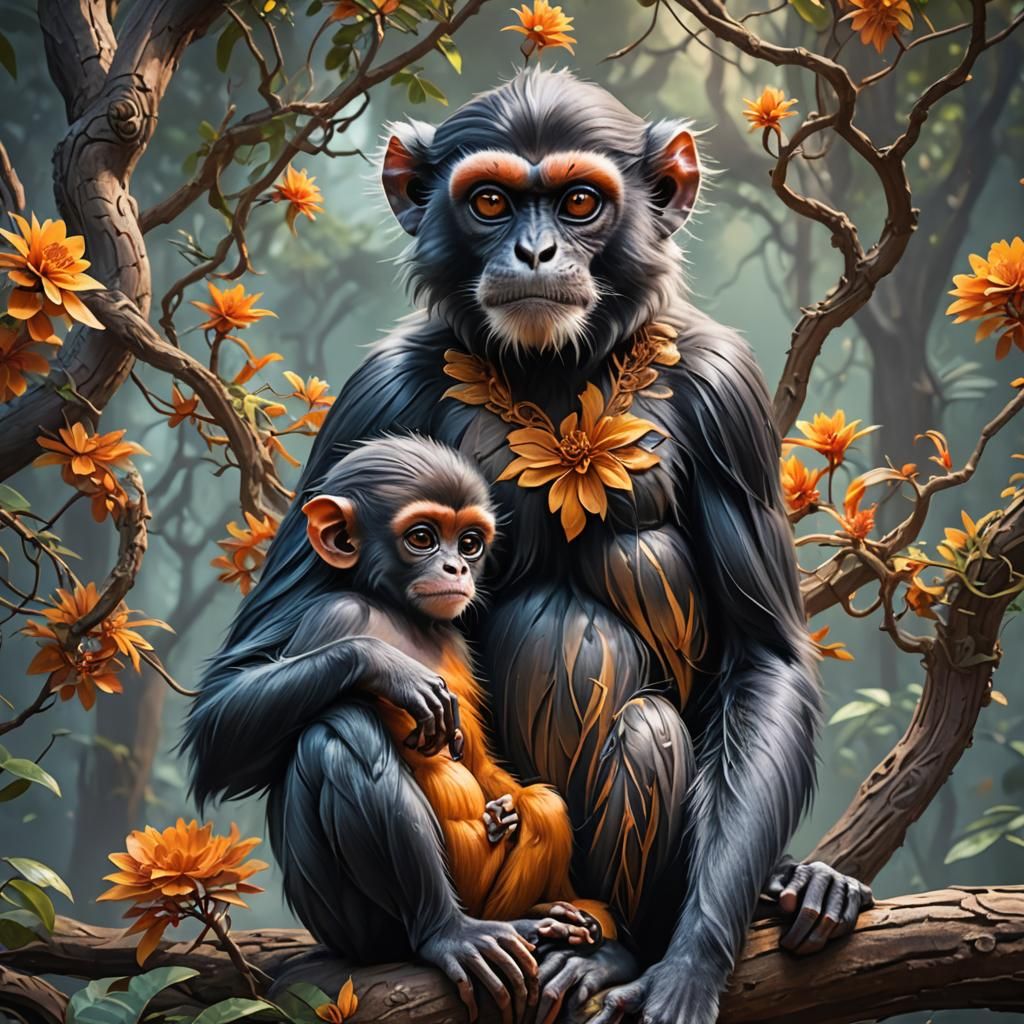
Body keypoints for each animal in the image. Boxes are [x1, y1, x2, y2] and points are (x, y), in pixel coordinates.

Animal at [188, 69, 873, 1024]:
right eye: (490, 201)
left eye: (581, 201)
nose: (538, 251)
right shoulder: (371, 396)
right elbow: (236, 688)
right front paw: (379, 665)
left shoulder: (725, 391)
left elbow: (764, 654)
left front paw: (693, 960)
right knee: (330, 728)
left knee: (648, 728)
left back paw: (631, 944)